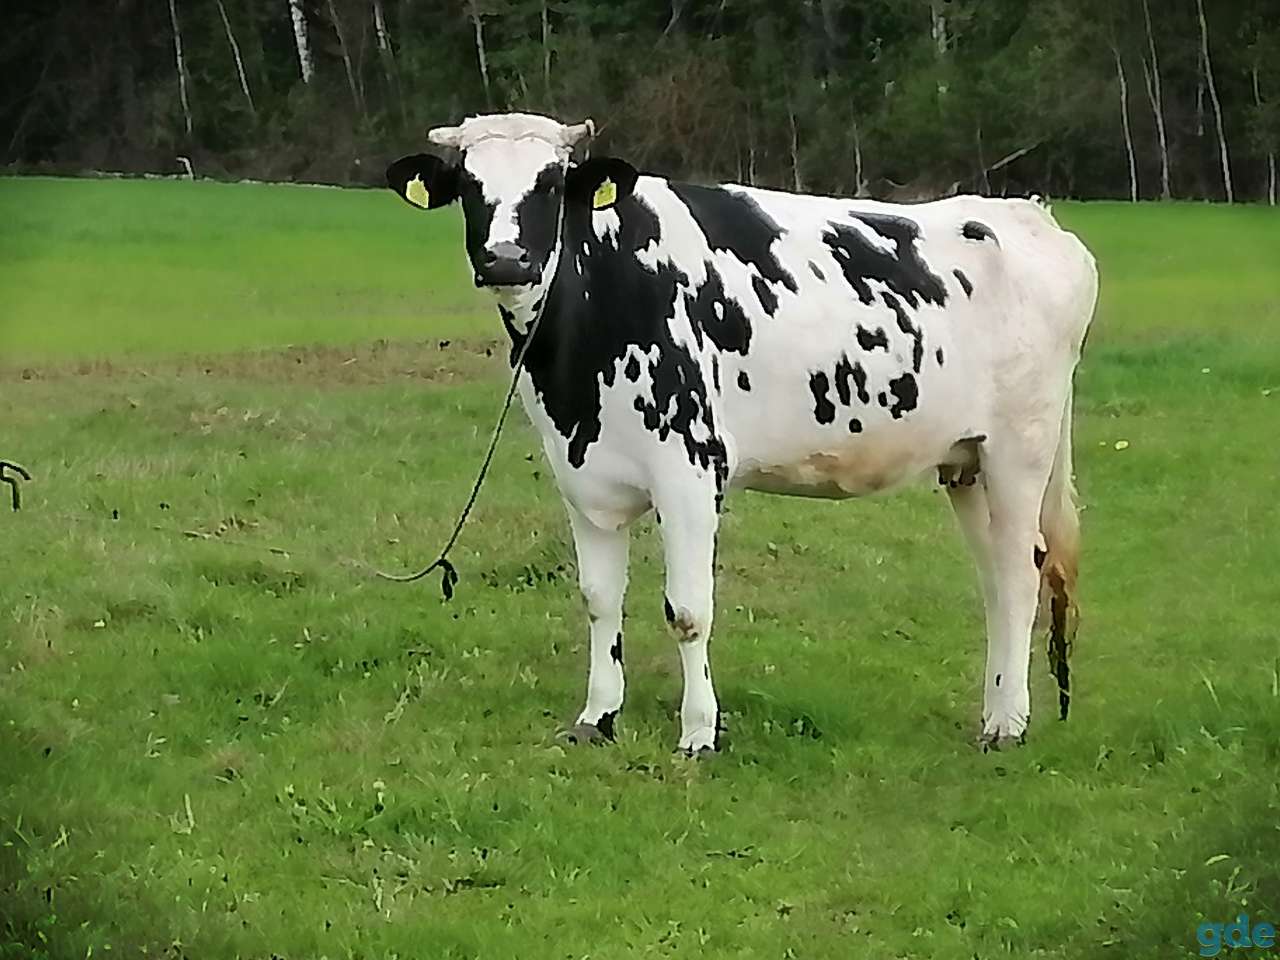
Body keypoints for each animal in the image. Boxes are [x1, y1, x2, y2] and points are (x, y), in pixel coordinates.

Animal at [385, 113, 1098, 755]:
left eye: (553, 183)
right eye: (468, 184)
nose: (505, 261)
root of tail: (1030, 216)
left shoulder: (691, 470)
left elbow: (687, 610)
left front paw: (699, 733)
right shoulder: (581, 479)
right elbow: (598, 600)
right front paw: (596, 718)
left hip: (1020, 449)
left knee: (1020, 572)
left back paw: (1007, 726)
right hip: (966, 460)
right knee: (997, 578)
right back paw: (997, 708)